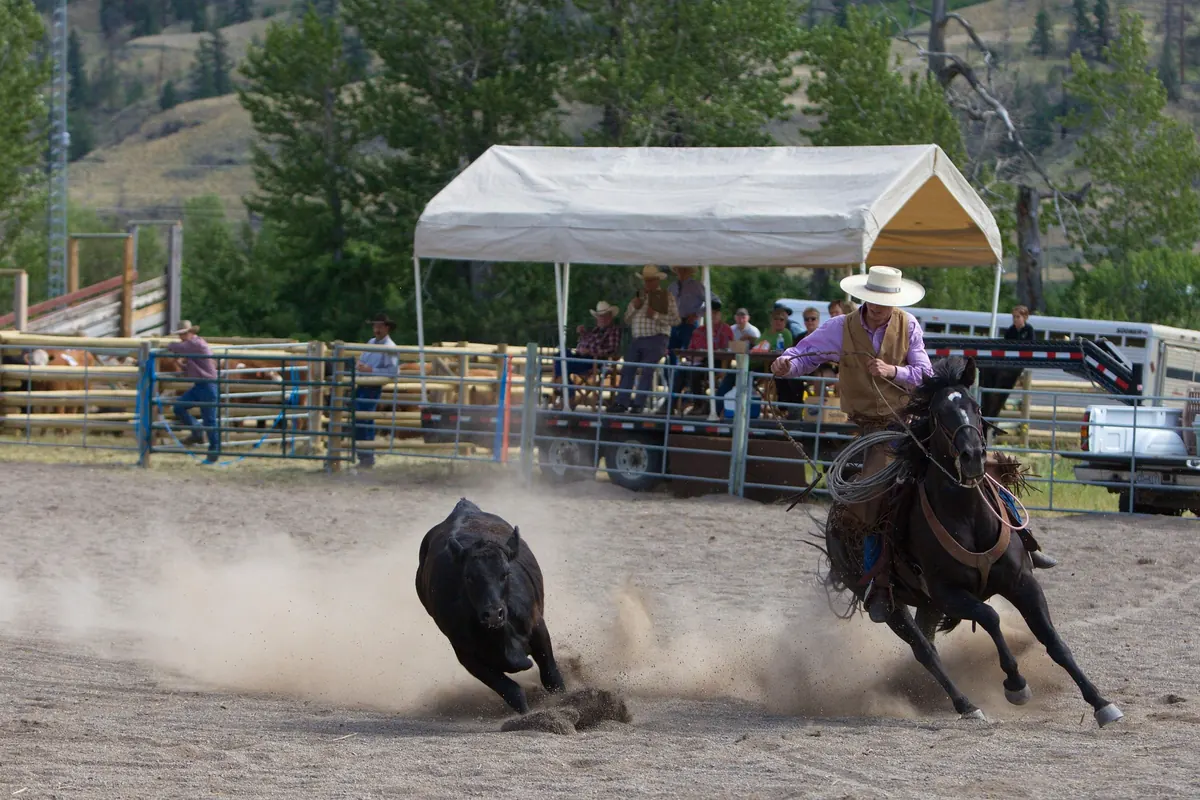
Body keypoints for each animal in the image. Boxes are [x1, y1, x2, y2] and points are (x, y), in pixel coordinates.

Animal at [415, 499, 566, 714]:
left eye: (505, 573)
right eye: (469, 577)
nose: (494, 614)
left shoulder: (538, 627)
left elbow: (551, 677)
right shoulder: (466, 654)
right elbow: (512, 692)